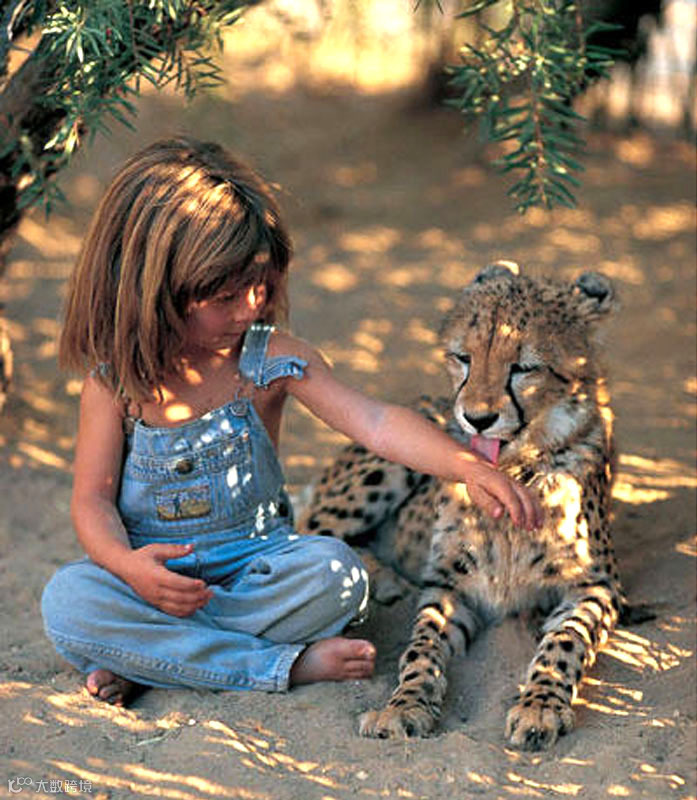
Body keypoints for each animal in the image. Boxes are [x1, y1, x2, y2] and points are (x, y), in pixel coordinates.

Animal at [297, 260, 645, 751]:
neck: (512, 475)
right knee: (310, 530)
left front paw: (540, 705)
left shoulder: (596, 587)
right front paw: (403, 705)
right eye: (463, 358)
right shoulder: (448, 586)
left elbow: (565, 642)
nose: (477, 418)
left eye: (524, 367)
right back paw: (381, 579)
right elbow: (420, 647)